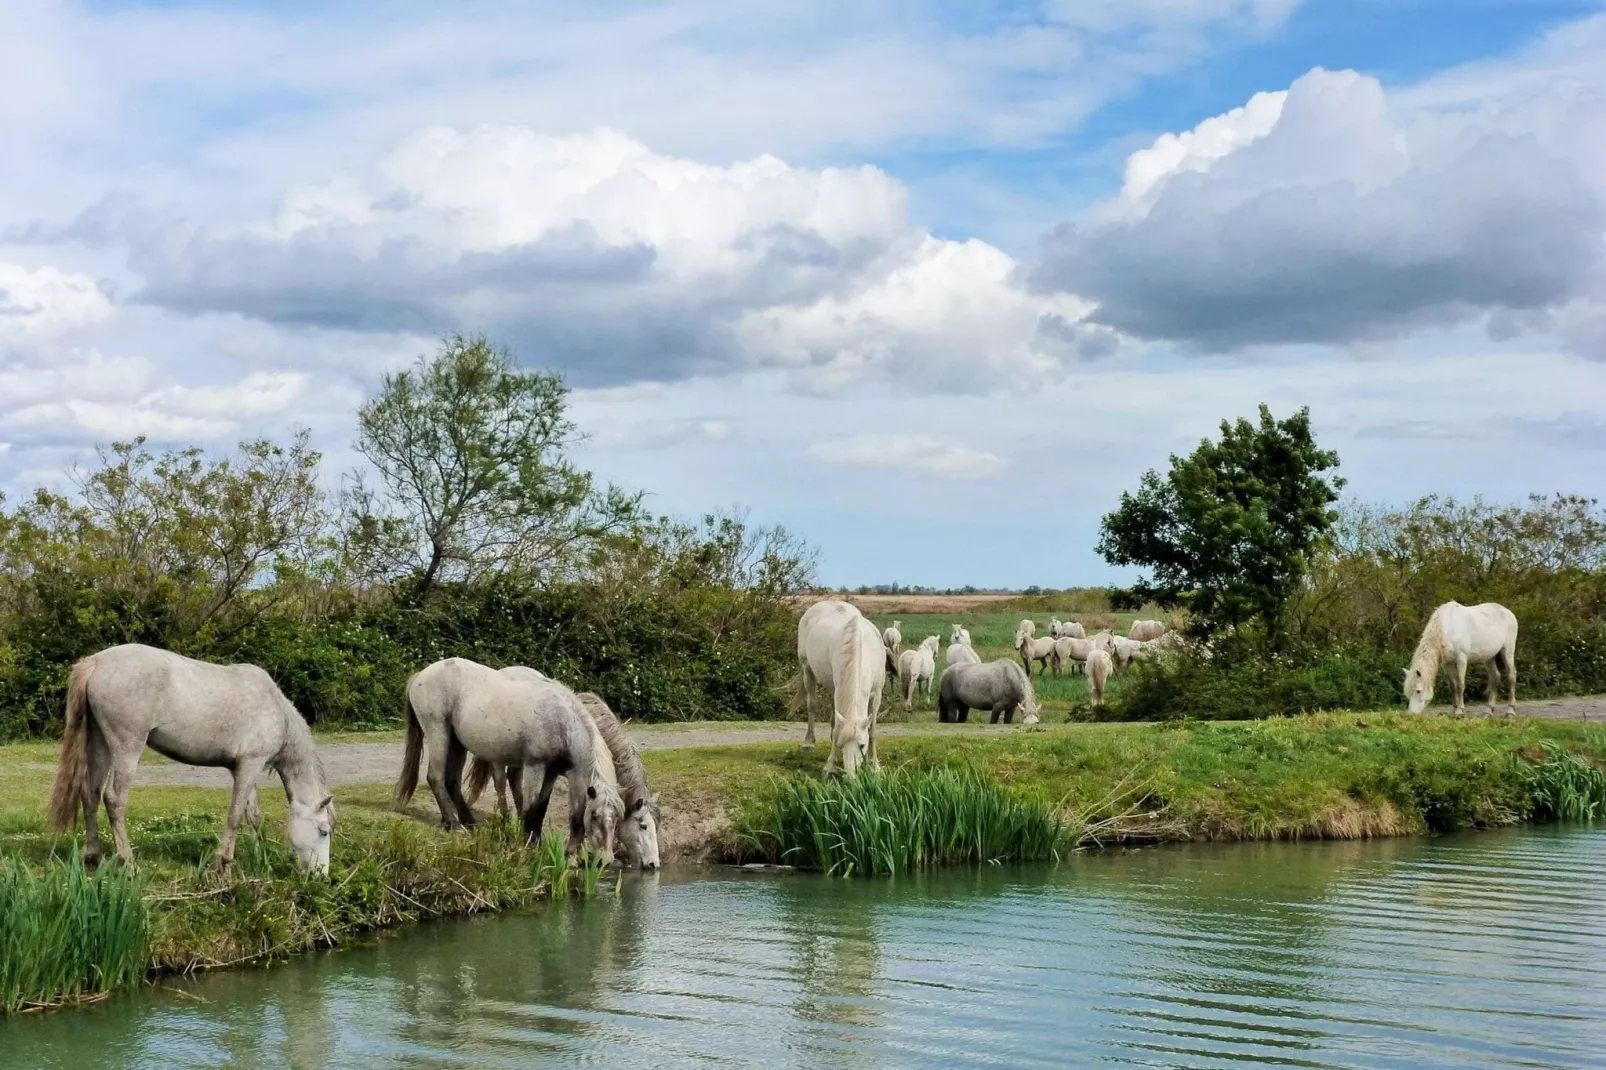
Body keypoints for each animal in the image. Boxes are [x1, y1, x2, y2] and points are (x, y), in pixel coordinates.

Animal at [45, 642, 332, 873]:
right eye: (324, 831)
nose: (321, 875)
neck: (277, 712)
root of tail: (96, 662)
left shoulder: (242, 769)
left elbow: (252, 814)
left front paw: (260, 859)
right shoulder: (251, 765)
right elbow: (235, 815)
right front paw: (223, 863)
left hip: (100, 744)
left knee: (90, 793)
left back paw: (94, 857)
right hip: (127, 747)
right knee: (114, 798)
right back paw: (128, 861)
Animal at [796, 594, 886, 771]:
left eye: (862, 745)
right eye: (842, 745)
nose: (852, 774)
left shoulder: (876, 694)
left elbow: (872, 729)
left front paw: (874, 764)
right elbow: (837, 728)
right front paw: (830, 765)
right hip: (807, 670)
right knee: (812, 704)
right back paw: (808, 743)